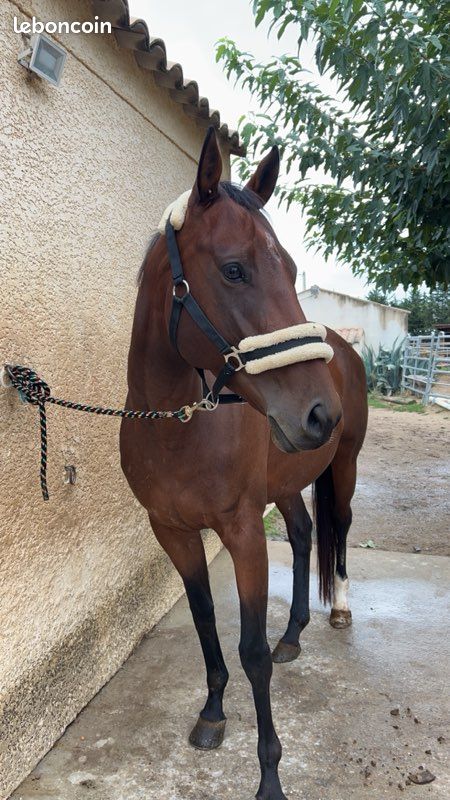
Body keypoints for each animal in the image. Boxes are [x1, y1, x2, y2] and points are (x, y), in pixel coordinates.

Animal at [120, 127, 368, 800]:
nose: (320, 414)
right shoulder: (174, 532)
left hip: (342, 469)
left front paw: (270, 776)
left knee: (339, 530)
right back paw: (295, 634)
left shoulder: (244, 532)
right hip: (285, 484)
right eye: (234, 269)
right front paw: (211, 713)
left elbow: (250, 649)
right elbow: (206, 620)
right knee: (306, 533)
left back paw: (337, 609)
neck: (177, 427)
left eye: (290, 269)